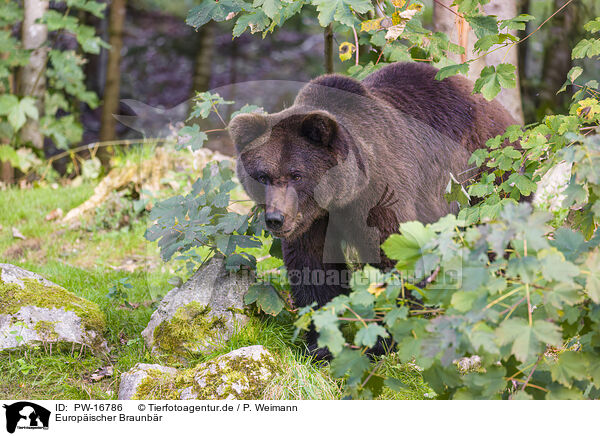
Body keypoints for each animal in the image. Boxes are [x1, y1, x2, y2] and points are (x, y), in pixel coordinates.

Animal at [229, 61, 516, 358]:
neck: (342, 197)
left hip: (486, 173)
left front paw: (383, 343)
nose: (276, 218)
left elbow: (393, 255)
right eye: (263, 176)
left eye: (296, 175)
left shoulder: (381, 195)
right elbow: (313, 266)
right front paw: (319, 345)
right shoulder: (311, 220)